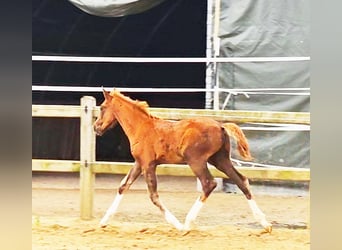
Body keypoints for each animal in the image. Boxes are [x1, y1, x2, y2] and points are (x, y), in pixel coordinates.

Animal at [92, 88, 272, 232]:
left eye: (102, 107)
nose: (96, 127)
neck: (142, 128)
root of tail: (220, 126)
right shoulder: (139, 163)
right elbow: (123, 186)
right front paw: (103, 222)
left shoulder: (148, 165)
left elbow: (153, 196)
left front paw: (177, 225)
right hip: (220, 160)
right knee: (241, 180)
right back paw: (265, 223)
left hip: (196, 161)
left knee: (209, 183)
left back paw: (187, 223)